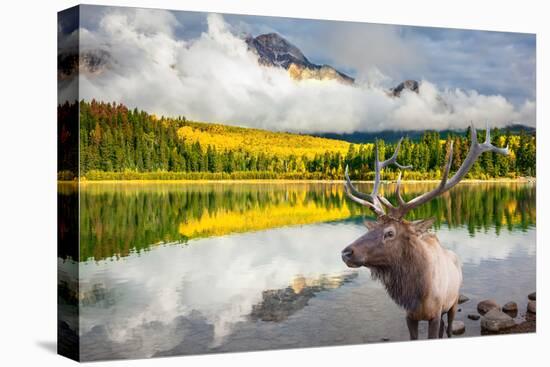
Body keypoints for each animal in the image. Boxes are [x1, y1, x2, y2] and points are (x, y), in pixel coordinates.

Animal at [342, 124, 512, 340]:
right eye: (375, 228)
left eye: (390, 233)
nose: (346, 252)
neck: (418, 295)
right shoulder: (409, 316)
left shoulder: (435, 314)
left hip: (453, 302)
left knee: (448, 328)